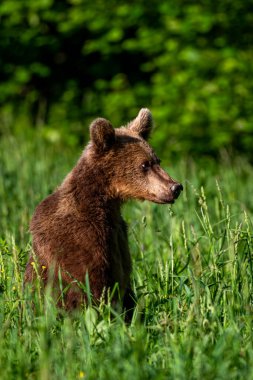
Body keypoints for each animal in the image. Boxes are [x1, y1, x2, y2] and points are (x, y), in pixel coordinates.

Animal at [24, 108, 183, 316]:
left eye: (157, 160)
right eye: (144, 164)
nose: (176, 187)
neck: (105, 203)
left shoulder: (118, 237)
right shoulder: (82, 238)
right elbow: (89, 284)